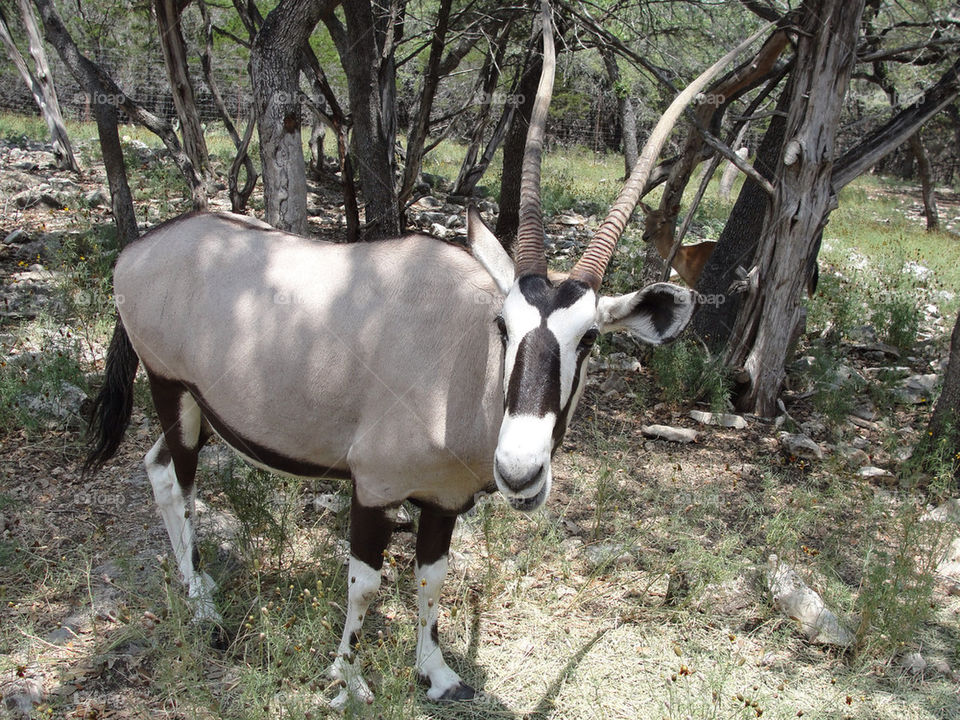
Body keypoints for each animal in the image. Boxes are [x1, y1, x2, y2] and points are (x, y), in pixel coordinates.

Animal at [86, 1, 708, 708]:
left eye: (592, 338)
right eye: (504, 325)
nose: (520, 472)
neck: (457, 369)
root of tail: (138, 250)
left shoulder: (442, 500)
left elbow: (432, 579)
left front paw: (435, 674)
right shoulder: (373, 488)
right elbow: (365, 583)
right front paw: (344, 681)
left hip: (194, 405)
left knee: (158, 466)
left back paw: (201, 588)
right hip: (169, 388)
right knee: (178, 482)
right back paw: (204, 613)